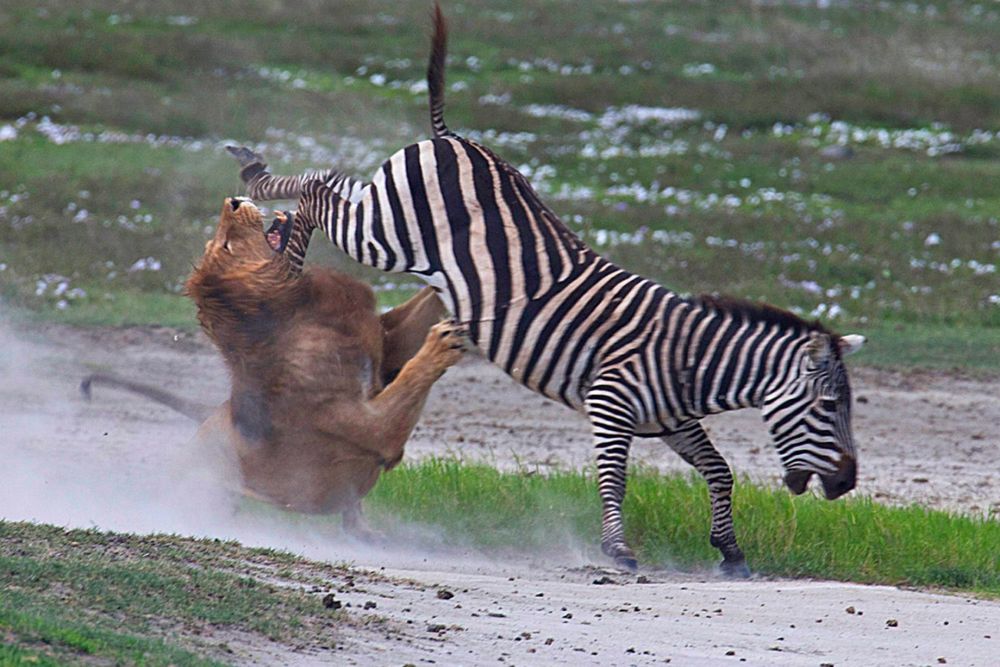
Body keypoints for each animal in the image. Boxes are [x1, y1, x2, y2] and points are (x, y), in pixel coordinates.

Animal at [82, 196, 464, 536]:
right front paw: (443, 340)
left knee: (351, 517)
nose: (233, 201)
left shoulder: (388, 345)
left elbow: (431, 294)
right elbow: (410, 380)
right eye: (226, 245)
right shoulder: (370, 427)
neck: (298, 308)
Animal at [230, 5, 864, 576]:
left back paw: (269, 207)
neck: (690, 359)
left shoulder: (674, 421)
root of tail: (453, 138)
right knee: (319, 193)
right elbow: (616, 476)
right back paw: (278, 240)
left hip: (385, 210)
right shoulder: (610, 399)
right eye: (829, 407)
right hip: (385, 232)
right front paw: (618, 550)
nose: (846, 483)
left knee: (329, 183)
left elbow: (719, 470)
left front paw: (729, 550)